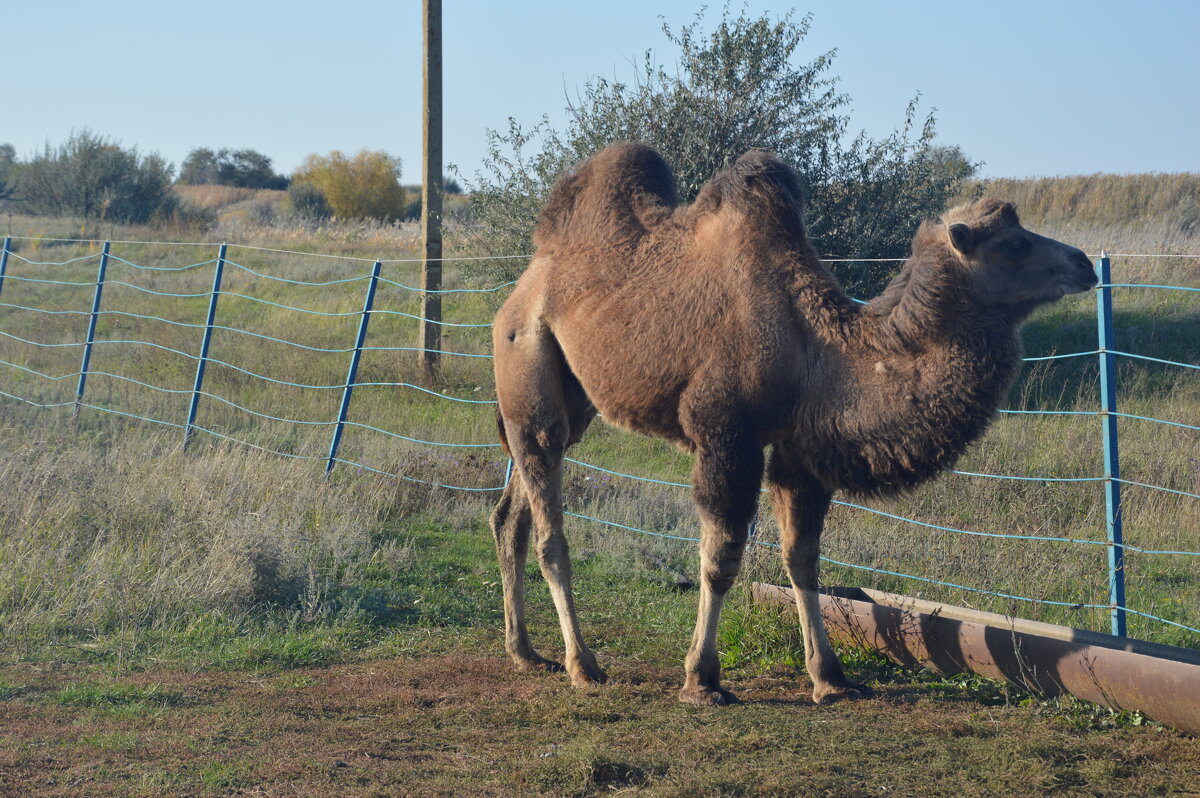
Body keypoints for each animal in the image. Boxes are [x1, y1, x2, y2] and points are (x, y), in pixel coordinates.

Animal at [487, 143, 1099, 705]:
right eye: (1015, 244)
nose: (1085, 263)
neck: (818, 352)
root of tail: (524, 283)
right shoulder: (725, 433)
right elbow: (722, 557)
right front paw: (701, 679)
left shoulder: (800, 451)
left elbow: (803, 560)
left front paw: (830, 678)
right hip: (527, 361)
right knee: (548, 524)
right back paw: (582, 664)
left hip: (574, 401)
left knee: (510, 515)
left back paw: (525, 652)